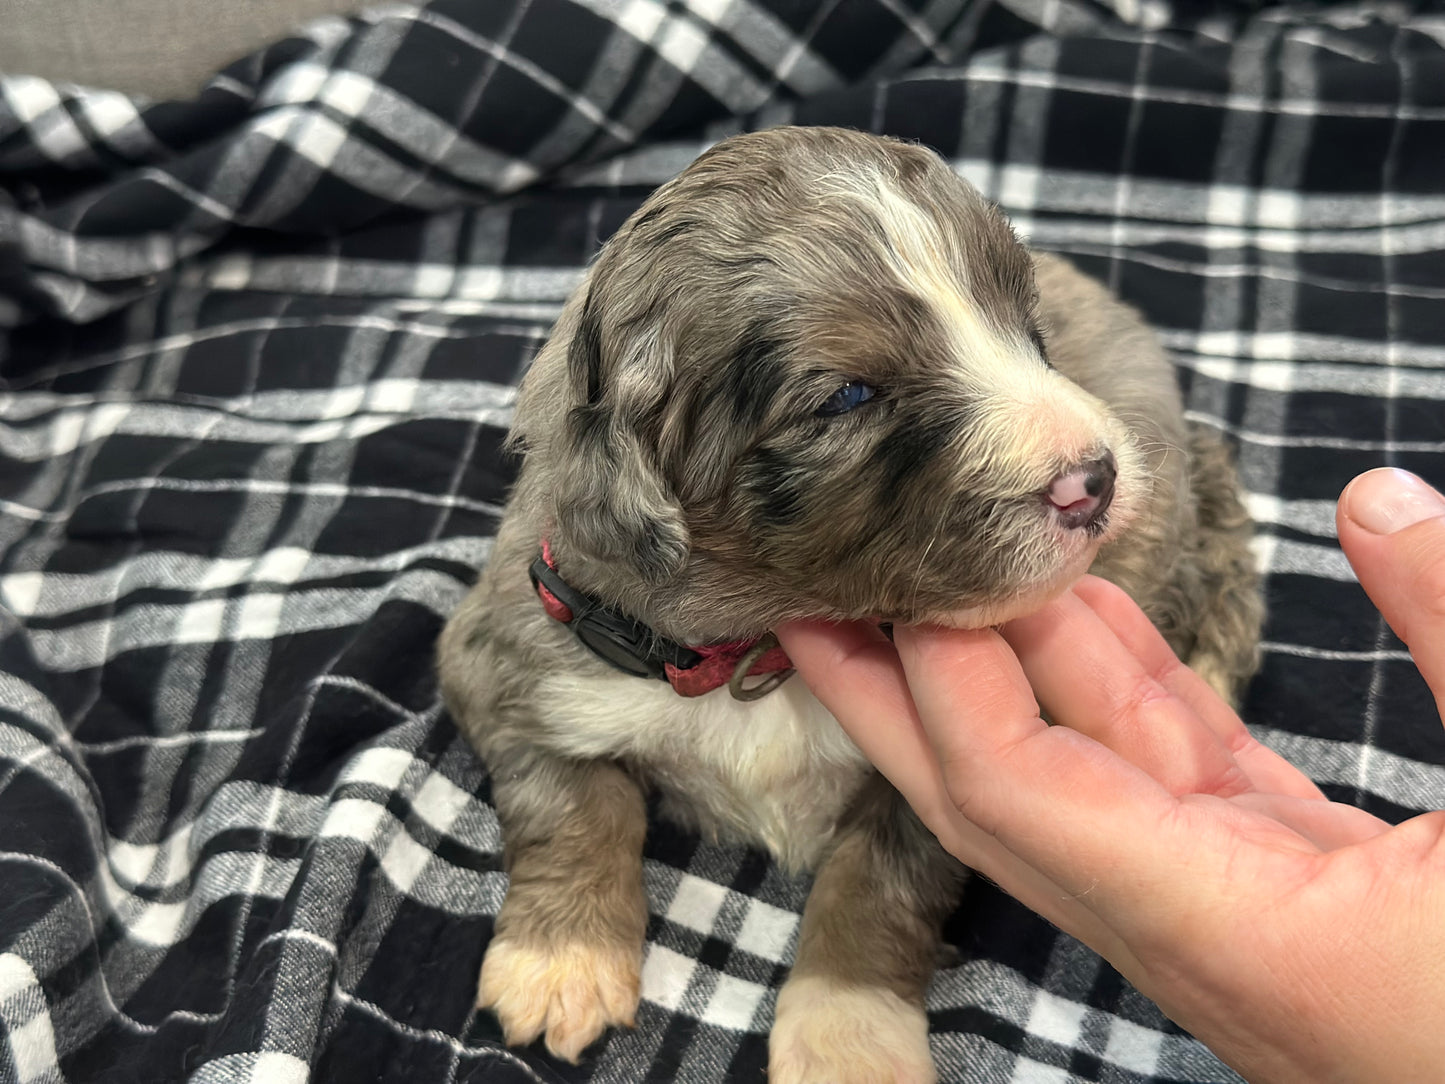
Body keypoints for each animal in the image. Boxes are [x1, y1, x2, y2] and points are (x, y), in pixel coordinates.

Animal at [433, 125, 1260, 1084]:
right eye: (848, 396)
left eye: (1027, 330)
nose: (1093, 479)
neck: (759, 645)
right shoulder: (511, 659)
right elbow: (569, 804)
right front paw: (561, 961)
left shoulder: (923, 802)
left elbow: (875, 891)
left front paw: (848, 1040)